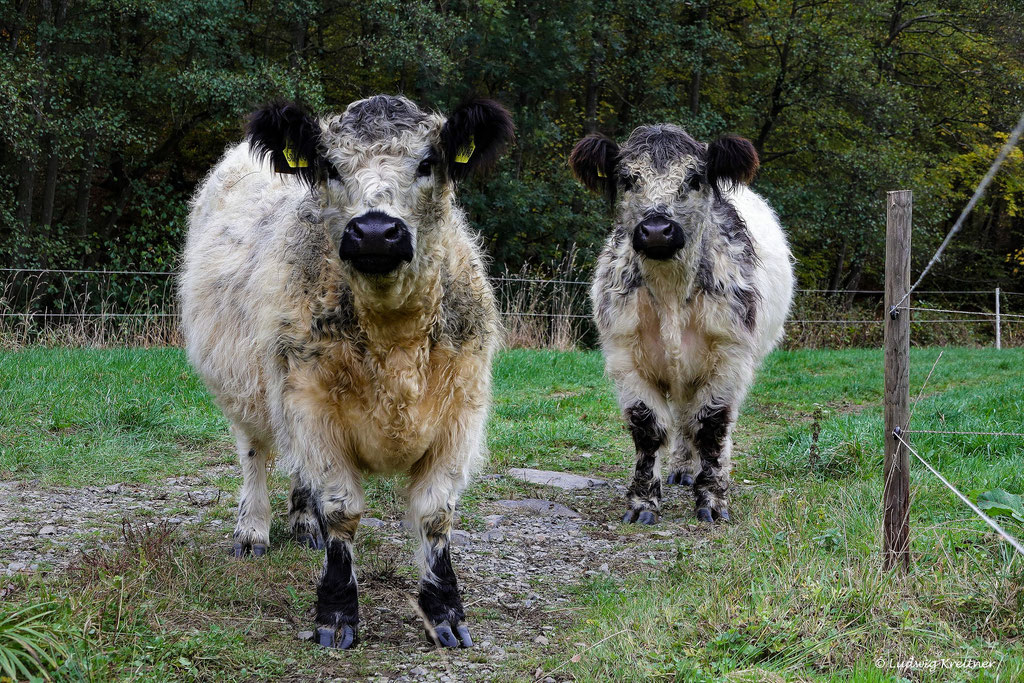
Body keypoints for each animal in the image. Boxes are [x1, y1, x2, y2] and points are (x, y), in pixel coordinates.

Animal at [181, 93, 516, 651]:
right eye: (331, 167)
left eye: (428, 162)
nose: (376, 231)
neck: (394, 342)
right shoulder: (311, 407)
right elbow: (341, 509)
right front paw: (337, 612)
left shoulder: (459, 415)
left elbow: (435, 513)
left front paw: (445, 611)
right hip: (247, 388)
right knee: (255, 454)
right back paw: (252, 531)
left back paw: (303, 523)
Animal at [573, 125, 794, 528]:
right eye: (627, 179)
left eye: (694, 179)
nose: (657, 230)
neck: (671, 293)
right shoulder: (625, 357)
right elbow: (648, 429)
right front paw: (643, 502)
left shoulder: (730, 358)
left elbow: (711, 426)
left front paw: (713, 500)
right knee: (681, 419)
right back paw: (682, 468)